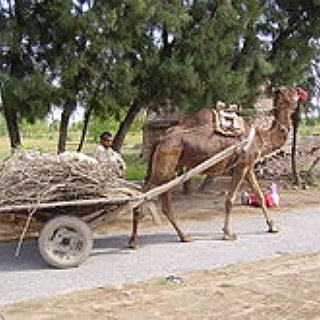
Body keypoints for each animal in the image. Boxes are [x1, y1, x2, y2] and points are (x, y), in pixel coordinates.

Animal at [128, 87, 308, 248]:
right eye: (292, 91)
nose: (303, 93)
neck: (261, 137)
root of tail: (162, 138)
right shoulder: (241, 166)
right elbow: (230, 199)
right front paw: (228, 233)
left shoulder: (248, 167)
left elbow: (260, 196)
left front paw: (272, 226)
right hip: (165, 163)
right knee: (143, 194)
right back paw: (134, 242)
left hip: (170, 167)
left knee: (164, 203)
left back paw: (184, 237)